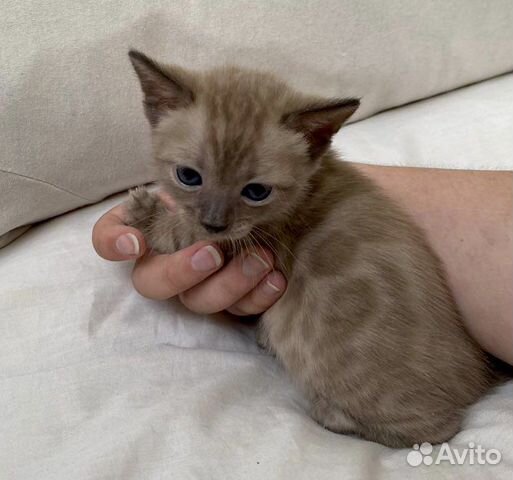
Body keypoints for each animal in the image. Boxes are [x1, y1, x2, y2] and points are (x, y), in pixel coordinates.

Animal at [124, 50, 488, 448]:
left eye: (256, 192)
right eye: (189, 176)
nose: (215, 222)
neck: (305, 189)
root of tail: (477, 377)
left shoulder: (245, 243)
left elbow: (183, 233)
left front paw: (144, 212)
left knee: (437, 431)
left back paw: (331, 413)